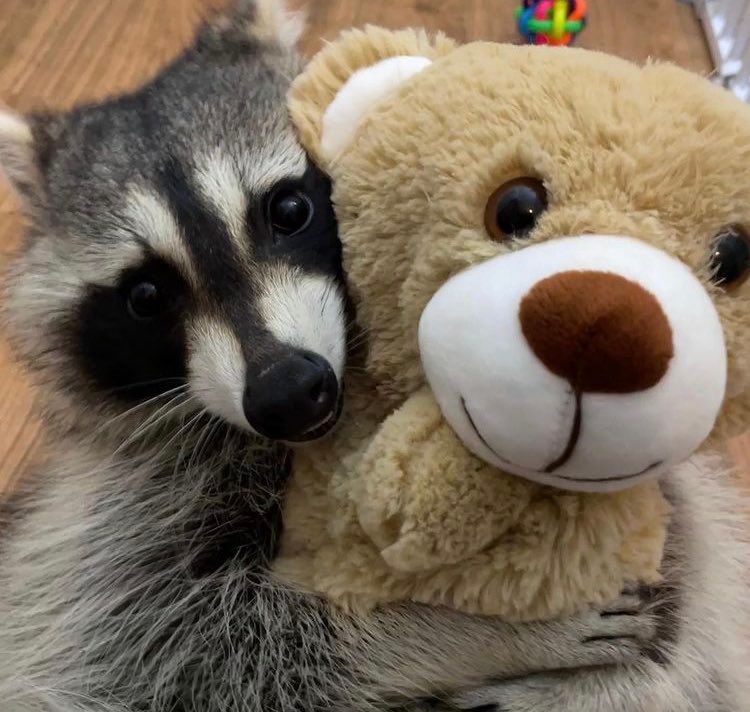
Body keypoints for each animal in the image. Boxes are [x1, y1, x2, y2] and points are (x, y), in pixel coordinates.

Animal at [0, 2, 697, 711]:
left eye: (288, 209)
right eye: (146, 296)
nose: (286, 391)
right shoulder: (130, 524)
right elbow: (217, 658)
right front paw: (469, 633)